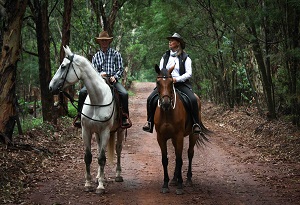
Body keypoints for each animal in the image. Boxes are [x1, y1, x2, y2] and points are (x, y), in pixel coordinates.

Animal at [49, 45, 125, 194]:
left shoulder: (105, 131)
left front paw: (100, 187)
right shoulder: (86, 131)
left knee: (118, 149)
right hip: (97, 133)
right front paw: (89, 183)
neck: (97, 99)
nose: (50, 86)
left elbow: (102, 158)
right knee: (100, 149)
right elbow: (89, 157)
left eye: (63, 66)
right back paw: (100, 177)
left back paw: (118, 175)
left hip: (119, 130)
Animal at [154, 64, 207, 195]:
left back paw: (188, 179)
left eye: (171, 82)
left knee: (190, 153)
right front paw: (165, 184)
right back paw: (174, 179)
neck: (167, 113)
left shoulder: (179, 136)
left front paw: (180, 186)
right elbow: (165, 160)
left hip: (193, 135)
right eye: (158, 82)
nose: (166, 103)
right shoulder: (160, 137)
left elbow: (179, 159)